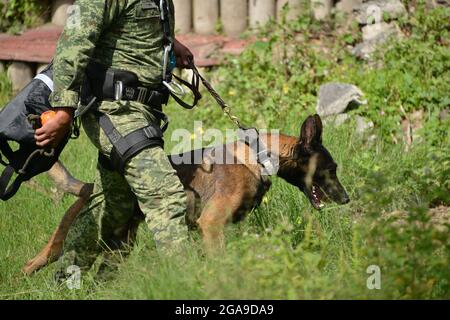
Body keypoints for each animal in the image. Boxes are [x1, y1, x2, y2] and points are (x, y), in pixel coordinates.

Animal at [22, 115, 350, 276]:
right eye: (332, 169)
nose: (347, 199)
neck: (258, 156)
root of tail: (93, 189)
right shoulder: (212, 225)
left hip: (118, 246)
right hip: (80, 242)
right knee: (37, 264)